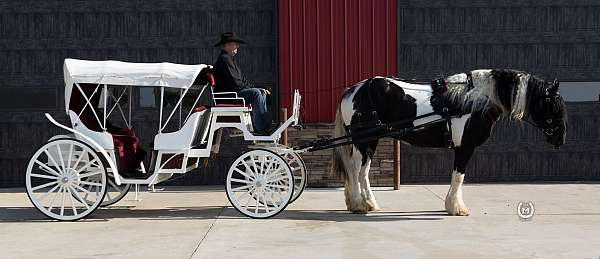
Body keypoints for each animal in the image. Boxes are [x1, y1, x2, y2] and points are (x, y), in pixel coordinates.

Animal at [332, 68, 568, 215]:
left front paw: (452, 204)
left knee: (359, 172)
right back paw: (360, 205)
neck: (474, 99)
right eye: (553, 104)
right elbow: (458, 177)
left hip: (368, 141)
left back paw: (366, 203)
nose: (560, 138)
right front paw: (456, 208)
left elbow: (459, 178)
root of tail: (353, 90)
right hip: (363, 140)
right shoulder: (464, 147)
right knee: (356, 170)